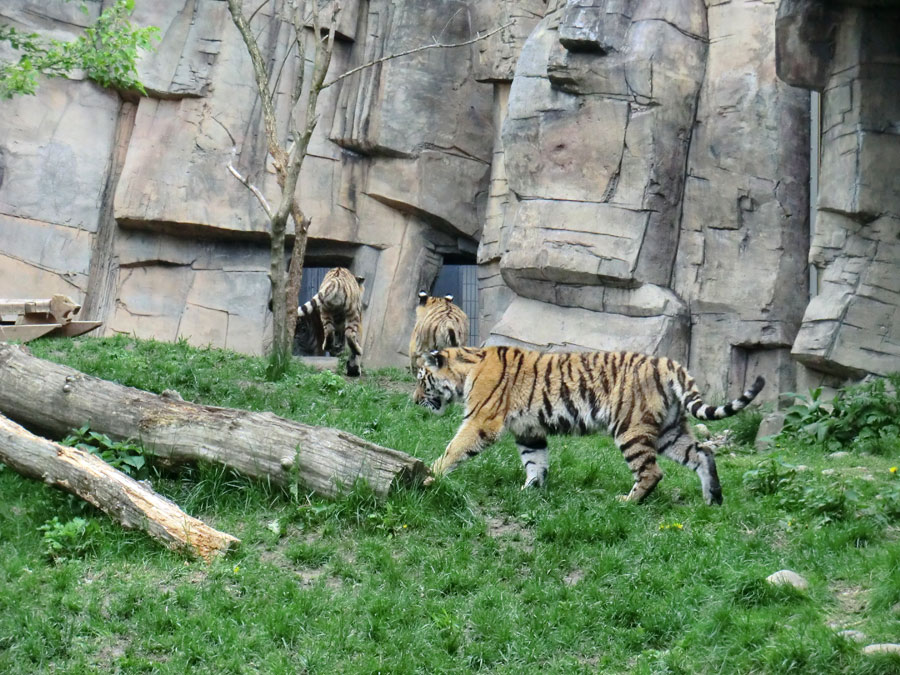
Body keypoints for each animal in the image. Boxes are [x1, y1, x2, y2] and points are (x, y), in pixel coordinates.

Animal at [416, 346, 768, 504]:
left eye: (421, 379)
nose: (415, 400)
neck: (466, 371)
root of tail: (670, 364)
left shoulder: (481, 420)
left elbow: (454, 448)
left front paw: (431, 475)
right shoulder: (529, 431)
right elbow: (535, 461)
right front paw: (531, 490)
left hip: (630, 428)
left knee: (652, 471)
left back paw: (627, 502)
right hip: (670, 430)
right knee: (703, 453)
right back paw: (713, 499)